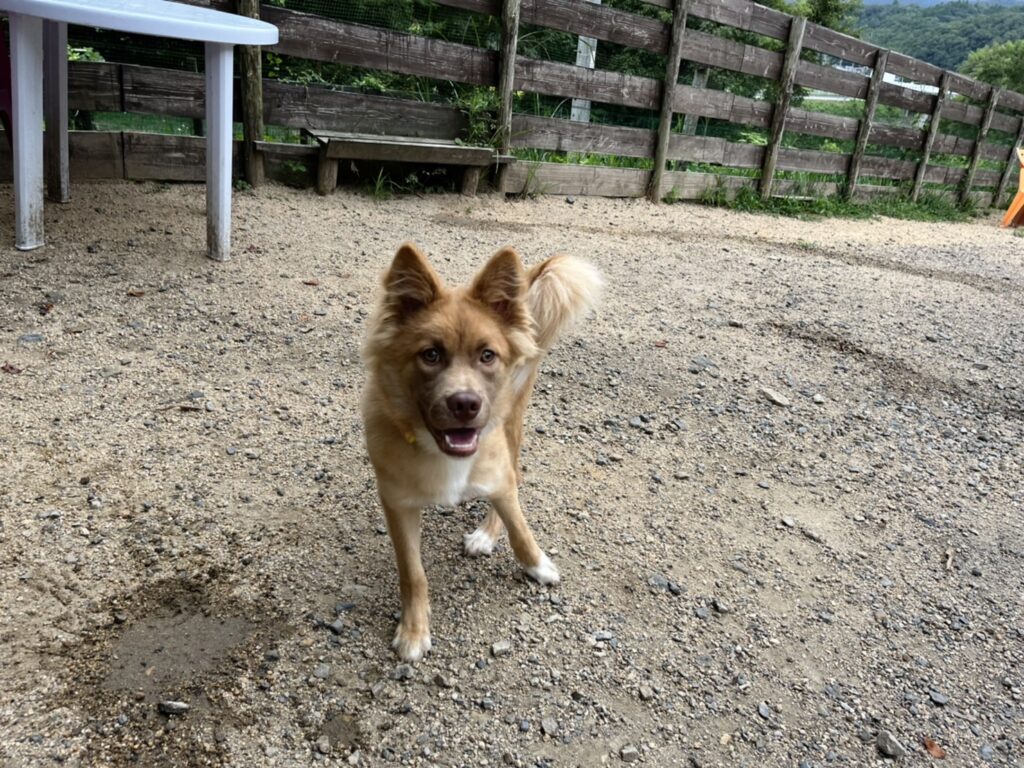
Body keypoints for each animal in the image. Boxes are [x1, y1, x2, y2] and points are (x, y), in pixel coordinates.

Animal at [361, 242, 602, 661]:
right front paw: (414, 631)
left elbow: (519, 526)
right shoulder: (397, 503)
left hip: (510, 424)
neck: (442, 453)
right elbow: (413, 572)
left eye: (487, 355)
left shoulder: (497, 473)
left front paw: (538, 566)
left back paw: (487, 535)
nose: (464, 404)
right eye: (431, 354)